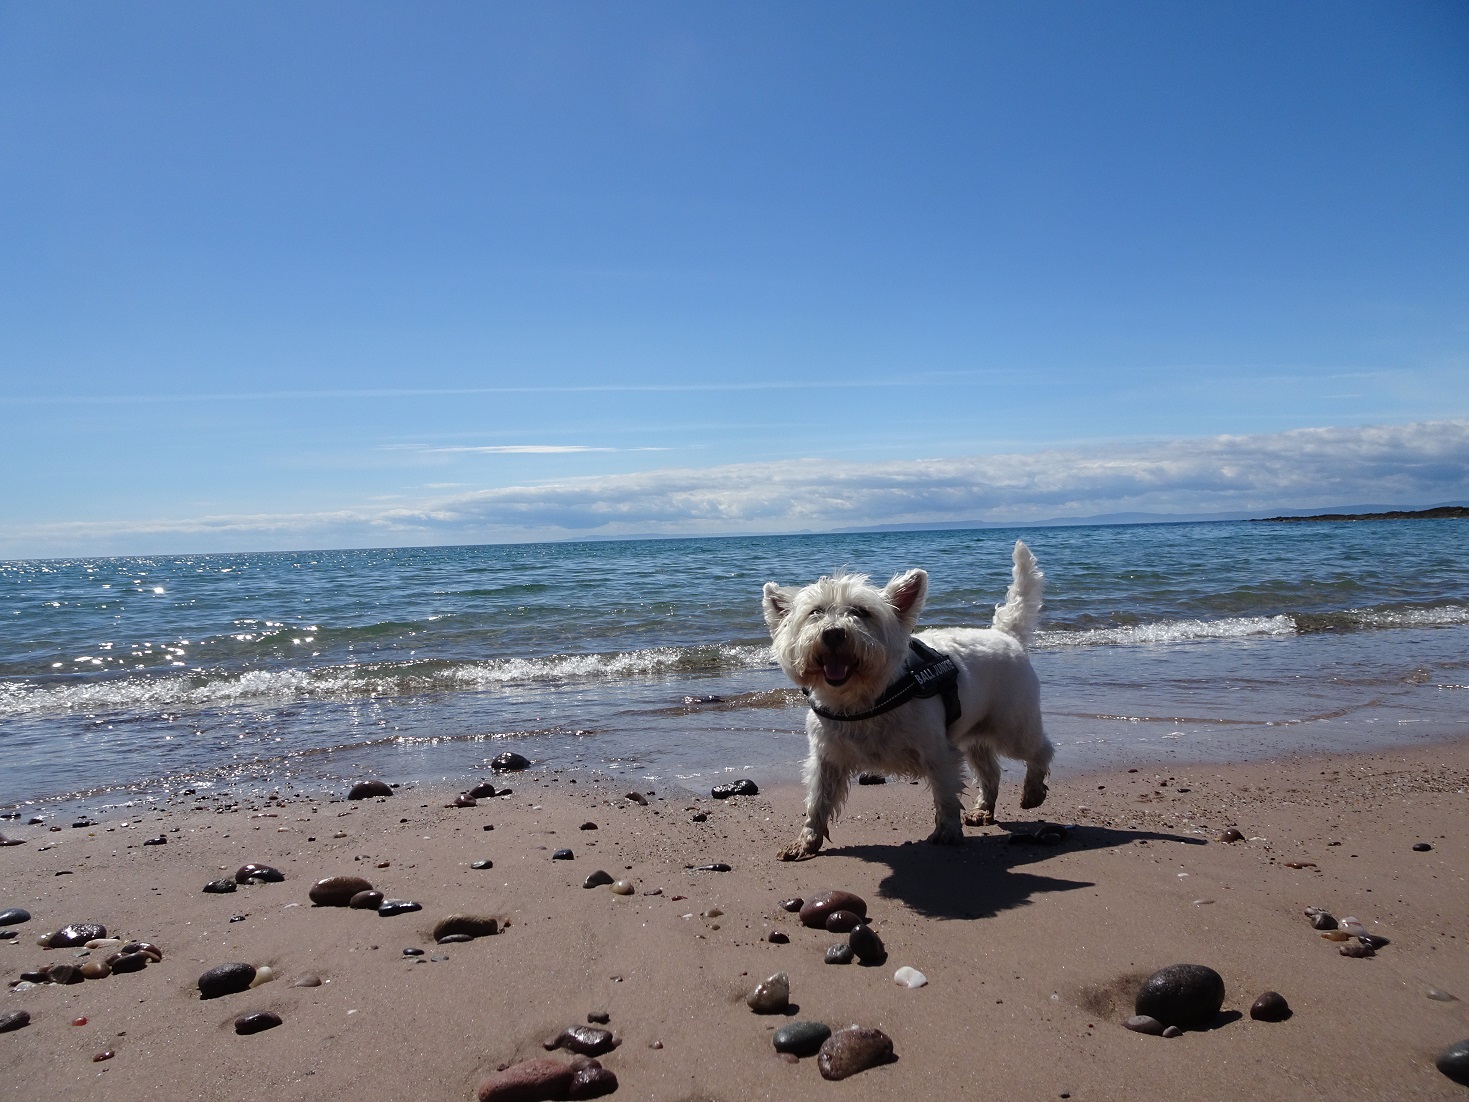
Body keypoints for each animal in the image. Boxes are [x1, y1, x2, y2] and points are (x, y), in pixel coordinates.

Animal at [763, 543, 1051, 863]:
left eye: (860, 611)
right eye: (816, 612)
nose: (833, 633)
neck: (863, 701)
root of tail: (1005, 634)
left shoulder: (938, 752)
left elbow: (945, 795)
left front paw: (947, 833)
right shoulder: (827, 758)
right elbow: (817, 801)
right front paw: (805, 842)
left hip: (1012, 726)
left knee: (1040, 750)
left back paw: (1033, 792)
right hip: (974, 733)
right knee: (990, 770)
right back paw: (983, 810)